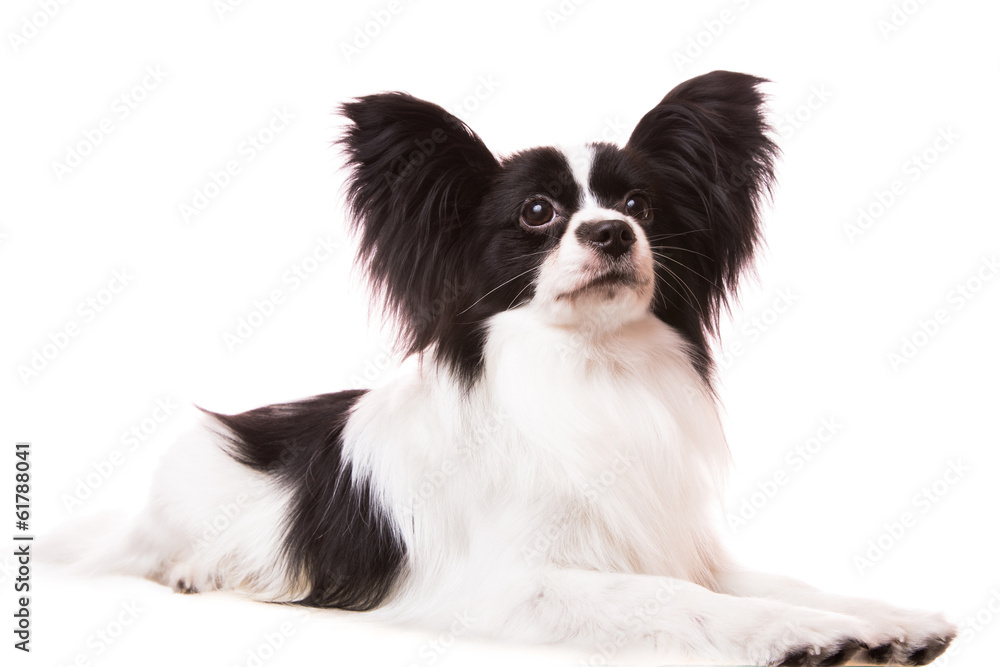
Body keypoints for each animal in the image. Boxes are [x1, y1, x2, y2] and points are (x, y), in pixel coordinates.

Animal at [50, 70, 956, 664]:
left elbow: (779, 579)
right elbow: (677, 598)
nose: (612, 233)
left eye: (640, 207)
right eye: (538, 213)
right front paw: (793, 634)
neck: (590, 368)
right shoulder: (514, 583)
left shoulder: (671, 543)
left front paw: (878, 617)